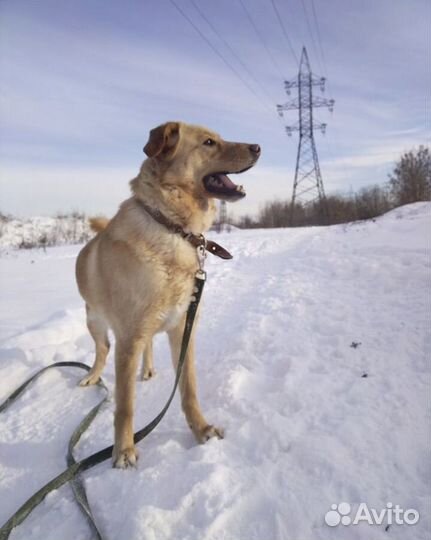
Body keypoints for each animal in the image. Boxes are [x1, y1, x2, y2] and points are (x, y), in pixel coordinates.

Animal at [76, 122, 262, 468]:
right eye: (208, 142)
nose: (258, 147)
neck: (172, 228)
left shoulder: (182, 330)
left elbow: (188, 389)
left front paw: (201, 429)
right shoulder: (128, 339)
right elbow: (125, 406)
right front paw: (123, 451)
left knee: (146, 345)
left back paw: (148, 368)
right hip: (94, 321)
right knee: (102, 350)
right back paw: (92, 376)